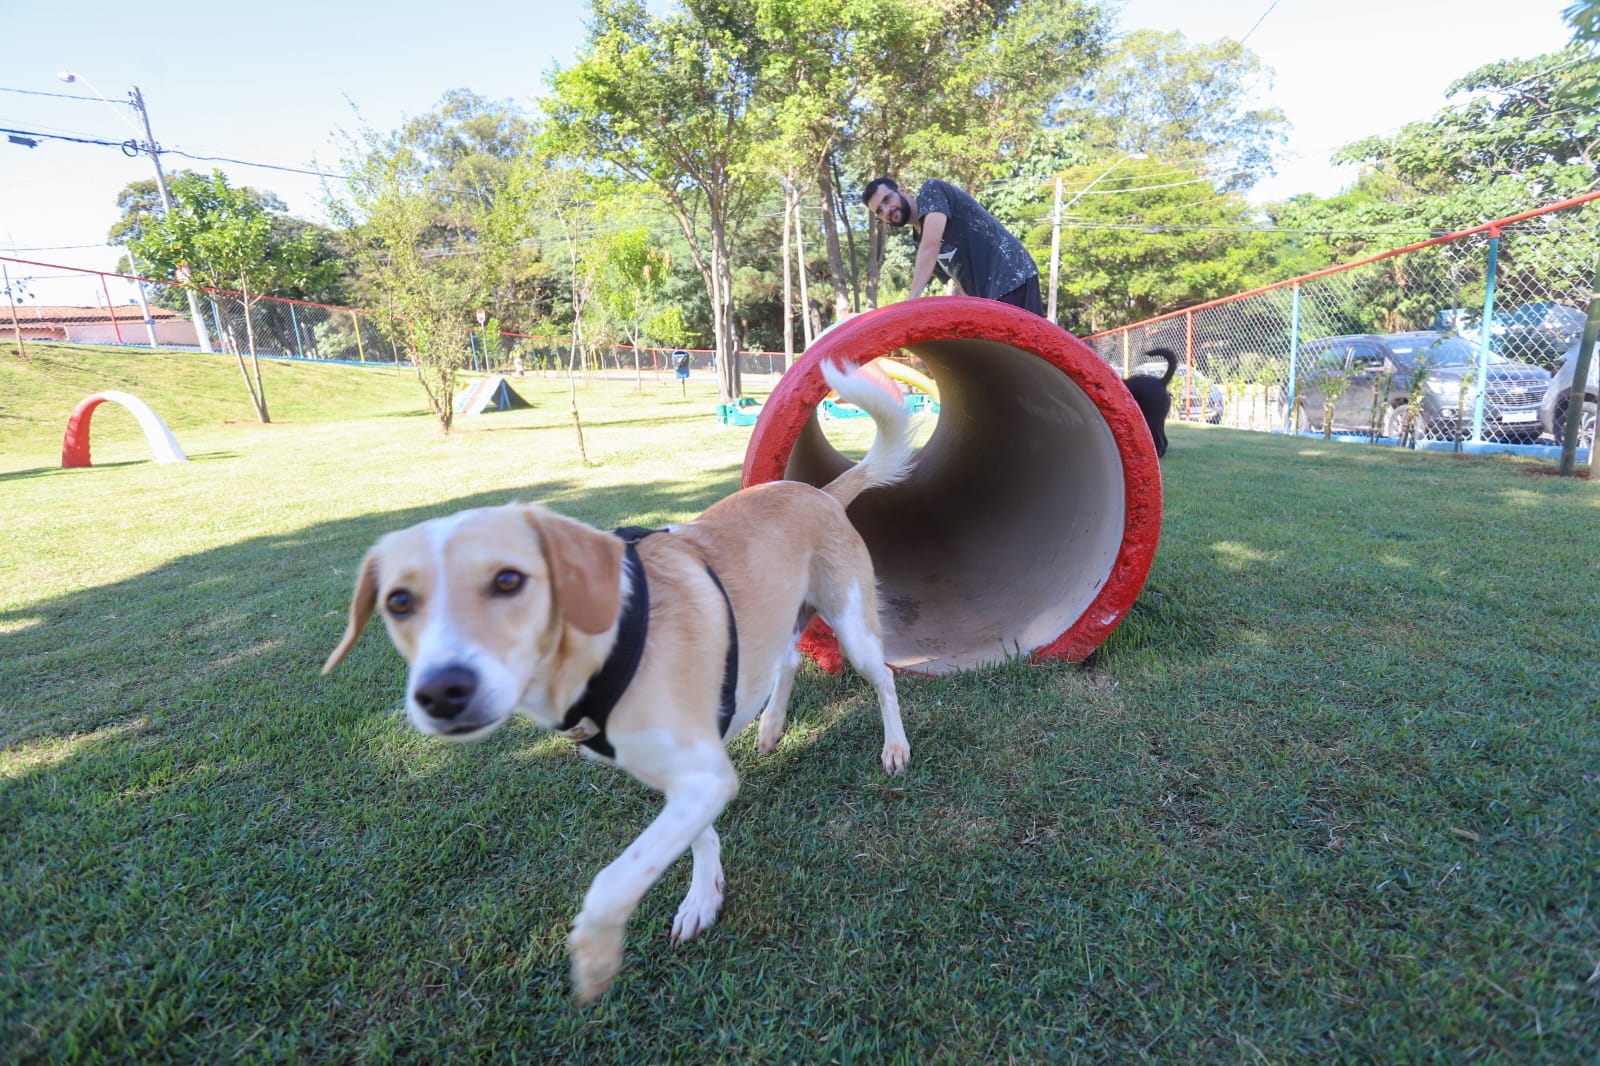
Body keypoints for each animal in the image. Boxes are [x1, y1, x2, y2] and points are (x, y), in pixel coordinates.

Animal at [321, 361, 915, 998]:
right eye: (398, 602)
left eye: (509, 580)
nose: (441, 691)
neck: (607, 645)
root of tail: (822, 492)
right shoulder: (684, 774)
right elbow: (698, 836)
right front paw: (703, 895)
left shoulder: (698, 776)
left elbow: (614, 879)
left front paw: (597, 952)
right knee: (786, 663)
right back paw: (771, 726)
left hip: (853, 627)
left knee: (883, 679)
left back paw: (894, 747)